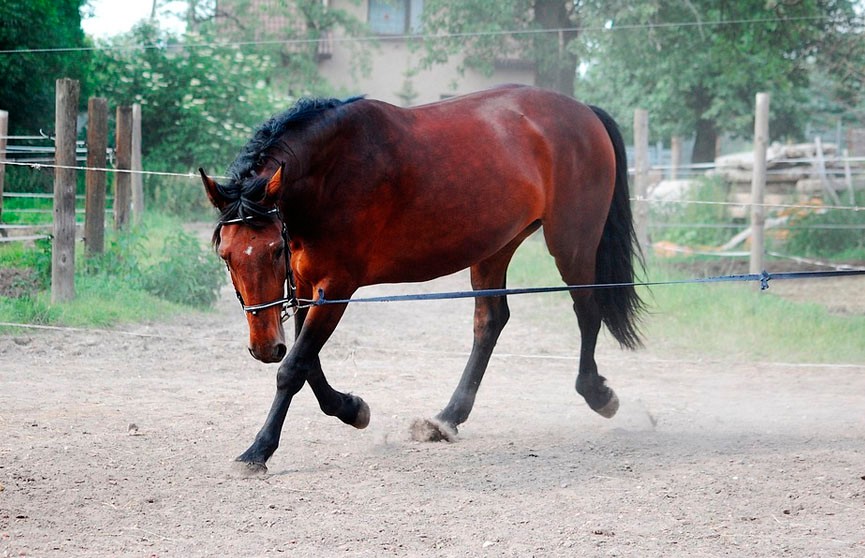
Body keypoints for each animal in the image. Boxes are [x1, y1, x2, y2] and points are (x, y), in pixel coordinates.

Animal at [197, 85, 640, 474]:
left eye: (275, 250)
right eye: (225, 255)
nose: (264, 347)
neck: (332, 171)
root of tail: (583, 111)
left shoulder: (337, 286)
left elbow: (294, 367)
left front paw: (257, 451)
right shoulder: (307, 286)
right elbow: (309, 365)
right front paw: (352, 409)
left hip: (572, 242)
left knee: (587, 310)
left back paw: (597, 394)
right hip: (495, 247)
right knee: (490, 322)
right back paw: (447, 418)